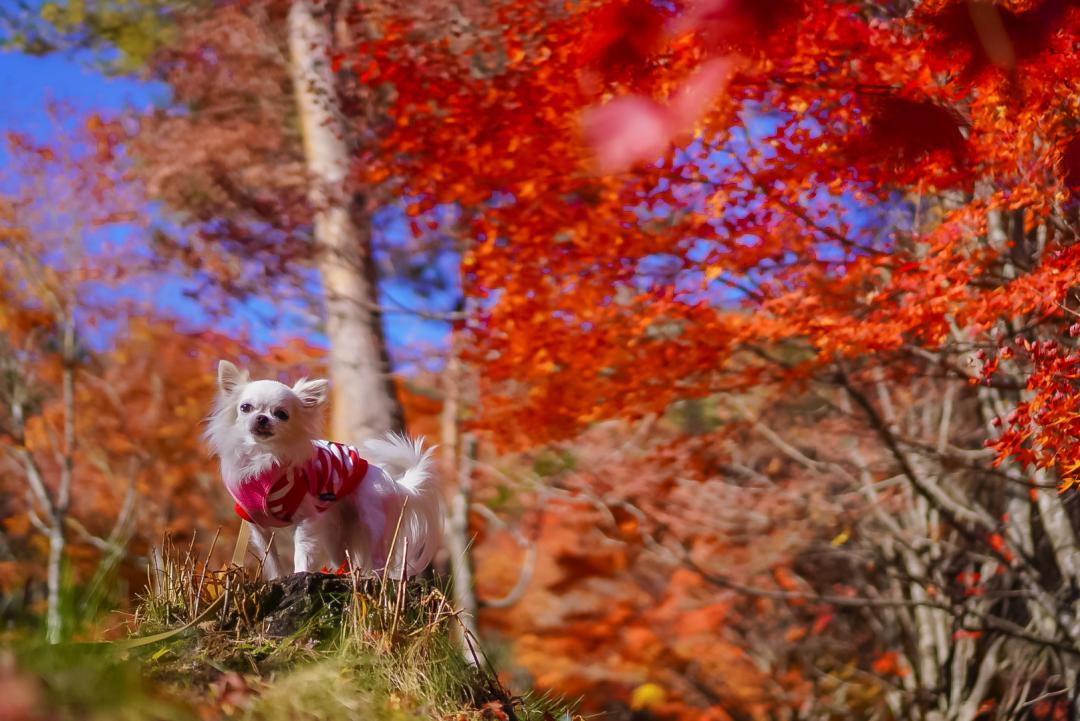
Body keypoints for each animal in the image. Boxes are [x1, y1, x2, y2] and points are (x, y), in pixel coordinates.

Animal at [204, 360, 440, 578]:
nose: (262, 418)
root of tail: (393, 481)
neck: (262, 456)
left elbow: (302, 551)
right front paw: (276, 578)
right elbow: (270, 558)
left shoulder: (306, 518)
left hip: (373, 521)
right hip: (336, 535)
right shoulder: (256, 524)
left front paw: (300, 573)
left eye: (282, 414)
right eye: (245, 408)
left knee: (380, 559)